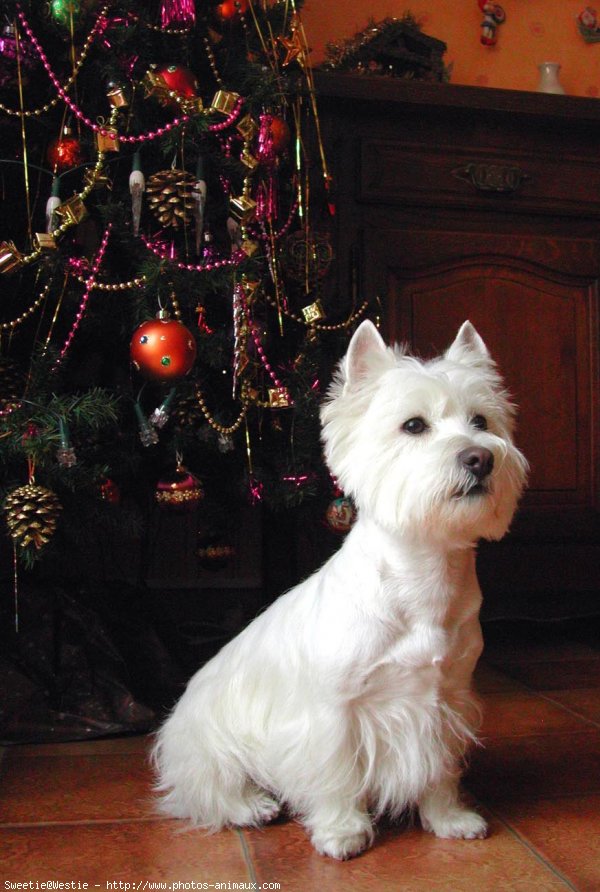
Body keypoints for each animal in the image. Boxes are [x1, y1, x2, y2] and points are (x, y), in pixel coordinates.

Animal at [152, 320, 528, 856]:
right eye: (413, 426)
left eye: (481, 421)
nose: (479, 458)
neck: (423, 576)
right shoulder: (333, 710)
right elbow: (337, 774)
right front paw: (341, 831)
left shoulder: (446, 699)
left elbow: (439, 767)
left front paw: (450, 818)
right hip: (207, 741)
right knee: (207, 787)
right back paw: (252, 806)